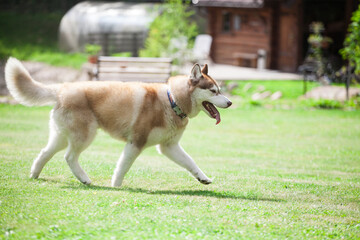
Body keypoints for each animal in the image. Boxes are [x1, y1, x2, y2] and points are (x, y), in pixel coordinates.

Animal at [4, 58, 231, 188]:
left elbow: (190, 162)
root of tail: (62, 88)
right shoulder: (136, 142)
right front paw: (116, 185)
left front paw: (203, 178)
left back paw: (34, 175)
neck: (171, 100)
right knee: (69, 157)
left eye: (219, 90)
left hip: (61, 136)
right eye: (214, 91)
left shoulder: (169, 146)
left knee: (45, 153)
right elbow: (123, 166)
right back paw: (84, 179)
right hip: (85, 135)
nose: (230, 102)